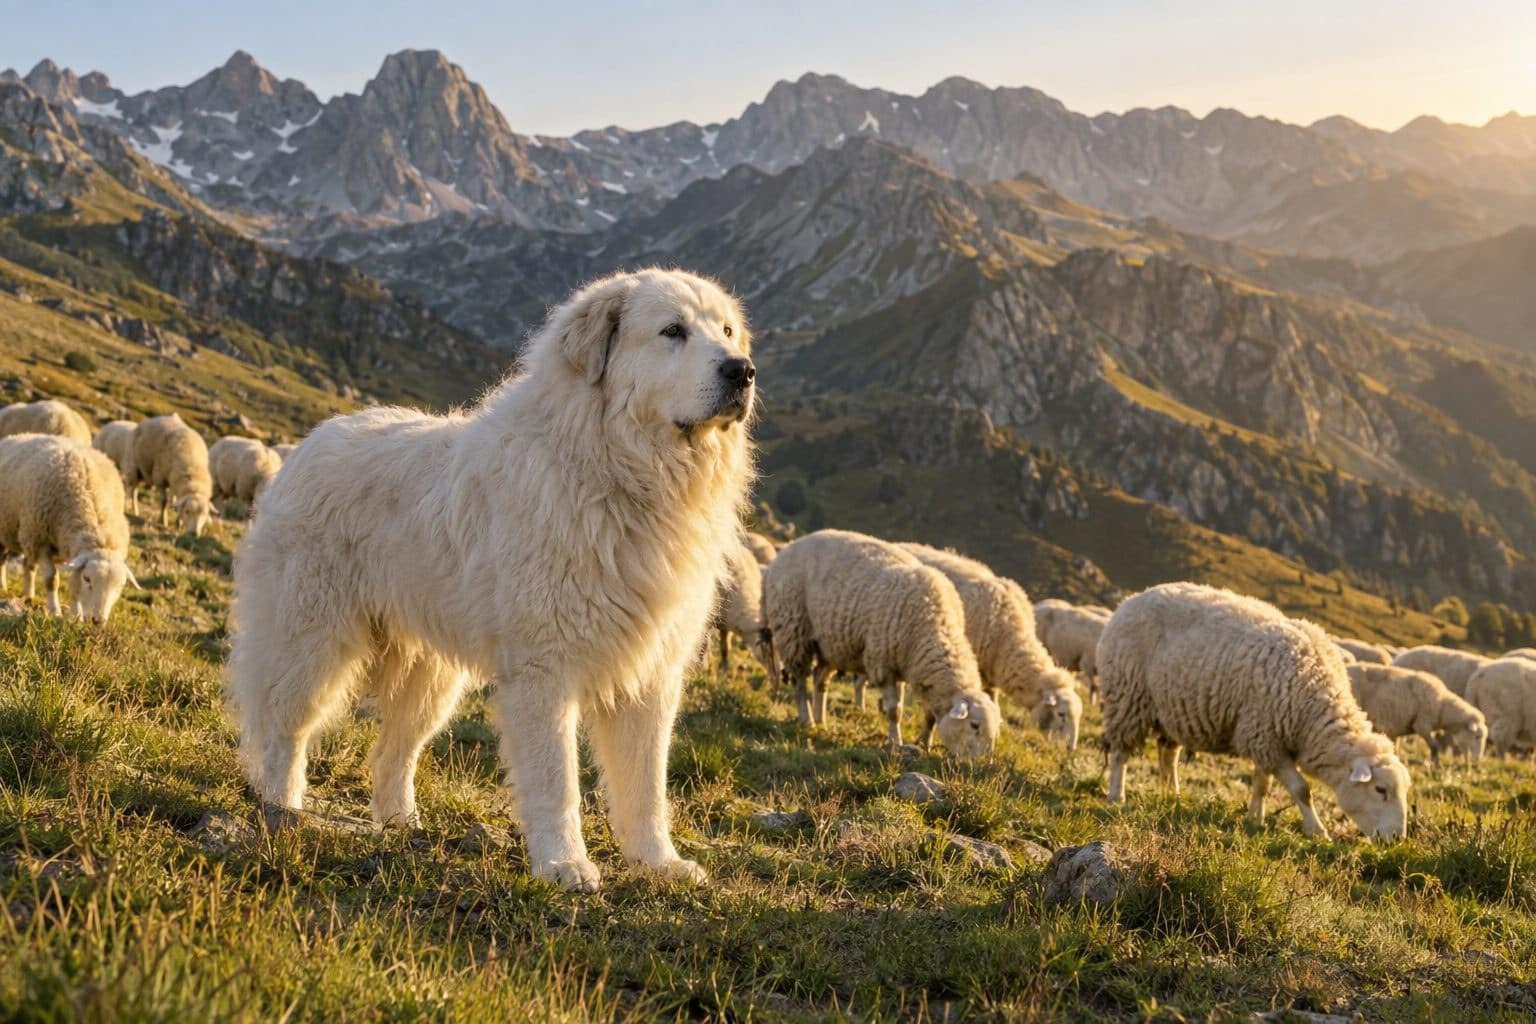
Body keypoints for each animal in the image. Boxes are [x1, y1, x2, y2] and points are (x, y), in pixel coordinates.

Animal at [0, 433, 138, 622]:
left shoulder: (51, 543)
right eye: (87, 579)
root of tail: (17, 436)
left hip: (27, 535)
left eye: (120, 586)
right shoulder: (42, 541)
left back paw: (29, 596)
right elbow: (52, 580)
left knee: (29, 564)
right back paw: (3, 588)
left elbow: (73, 585)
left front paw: (75, 616)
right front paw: (55, 611)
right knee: (2, 559)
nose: (98, 621)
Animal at [764, 529, 1000, 759]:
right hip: (793, 630)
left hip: (828, 644)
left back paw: (821, 720)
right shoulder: (883, 664)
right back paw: (807, 720)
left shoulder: (905, 666)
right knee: (799, 680)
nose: (981, 764)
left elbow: (913, 710)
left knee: (820, 681)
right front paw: (895, 742)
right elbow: (894, 710)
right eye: (974, 725)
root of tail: (790, 547)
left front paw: (912, 741)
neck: (934, 627)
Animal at [899, 542, 1081, 749]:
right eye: (1061, 714)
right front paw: (924, 741)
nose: (1071, 748)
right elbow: (933, 712)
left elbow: (994, 707)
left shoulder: (989, 677)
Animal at [1098, 582, 1410, 839]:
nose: (1397, 838)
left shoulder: (1264, 737)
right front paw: (1317, 831)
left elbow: (1262, 784)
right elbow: (1302, 791)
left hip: (1171, 707)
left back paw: (1171, 794)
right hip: (1127, 698)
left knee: (1168, 755)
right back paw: (1117, 795)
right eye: (1380, 790)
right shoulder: (1265, 737)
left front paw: (1255, 819)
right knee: (1120, 753)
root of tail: (1130, 600)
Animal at [1346, 663, 1487, 763]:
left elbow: (1395, 746)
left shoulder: (1397, 726)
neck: (1441, 706)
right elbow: (1435, 746)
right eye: (1477, 736)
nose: (1477, 760)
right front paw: (1436, 765)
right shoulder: (1422, 725)